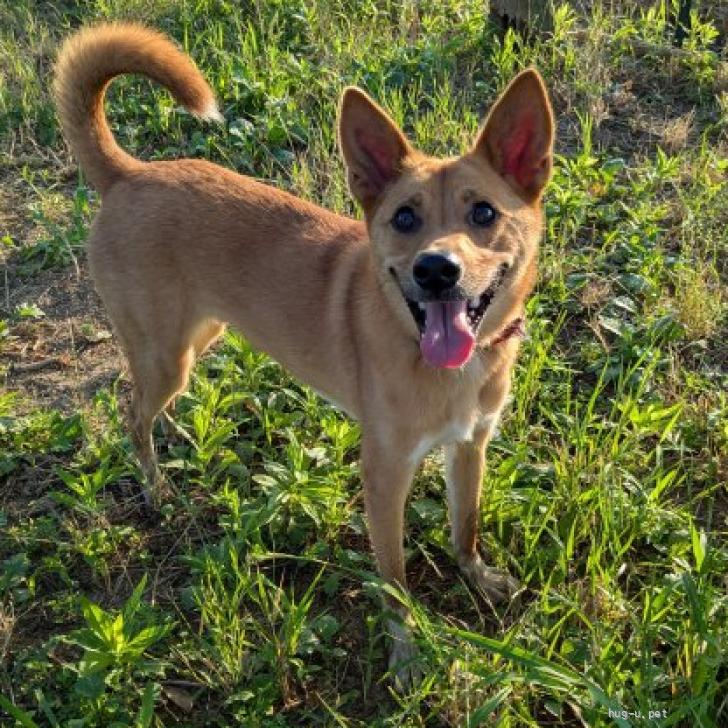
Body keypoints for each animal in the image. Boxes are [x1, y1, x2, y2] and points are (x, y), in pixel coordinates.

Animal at [54, 23, 554, 684]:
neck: (437, 360)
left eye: (484, 213)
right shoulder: (384, 475)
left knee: (146, 404)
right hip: (165, 352)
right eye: (404, 218)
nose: (436, 271)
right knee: (129, 411)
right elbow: (393, 579)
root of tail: (130, 174)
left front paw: (477, 577)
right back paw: (157, 487)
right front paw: (405, 651)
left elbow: (464, 525)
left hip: (199, 338)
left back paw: (178, 440)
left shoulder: (470, 446)